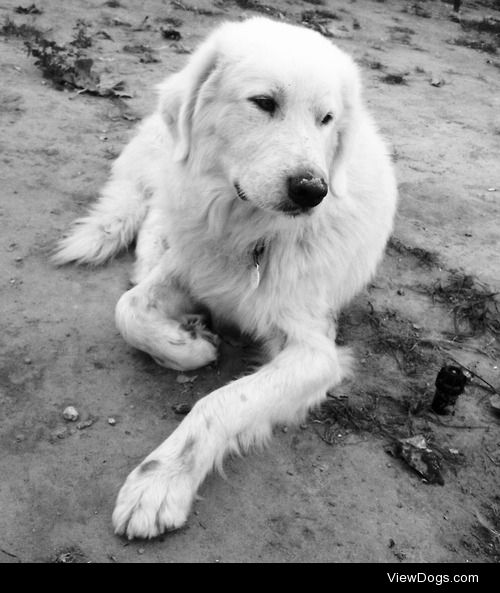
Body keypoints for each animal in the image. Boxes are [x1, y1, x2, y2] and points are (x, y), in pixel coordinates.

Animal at [53, 17, 398, 536]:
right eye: (264, 102)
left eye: (327, 119)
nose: (313, 190)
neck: (250, 234)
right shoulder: (192, 268)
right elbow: (129, 310)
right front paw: (189, 346)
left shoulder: (314, 352)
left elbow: (222, 402)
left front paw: (161, 480)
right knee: (149, 220)